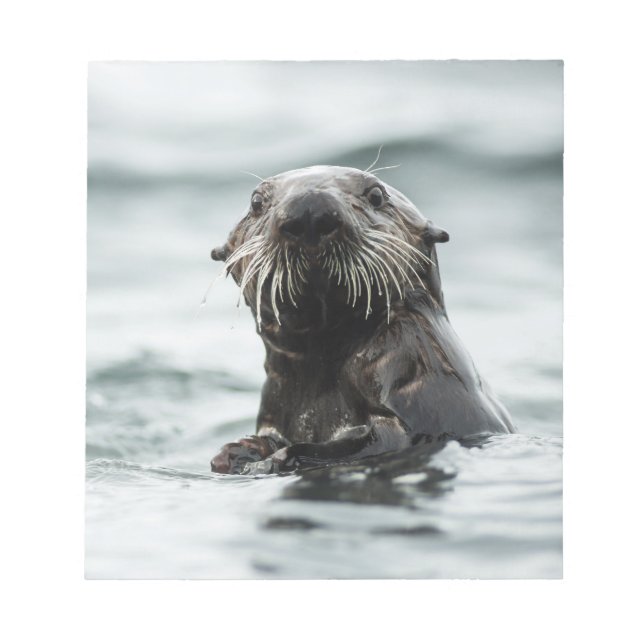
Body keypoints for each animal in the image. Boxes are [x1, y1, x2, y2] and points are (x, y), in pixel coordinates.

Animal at [209, 165, 514, 474]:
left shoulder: (413, 365)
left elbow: (383, 439)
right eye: (256, 202)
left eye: (376, 195)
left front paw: (274, 459)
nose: (309, 210)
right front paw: (237, 452)